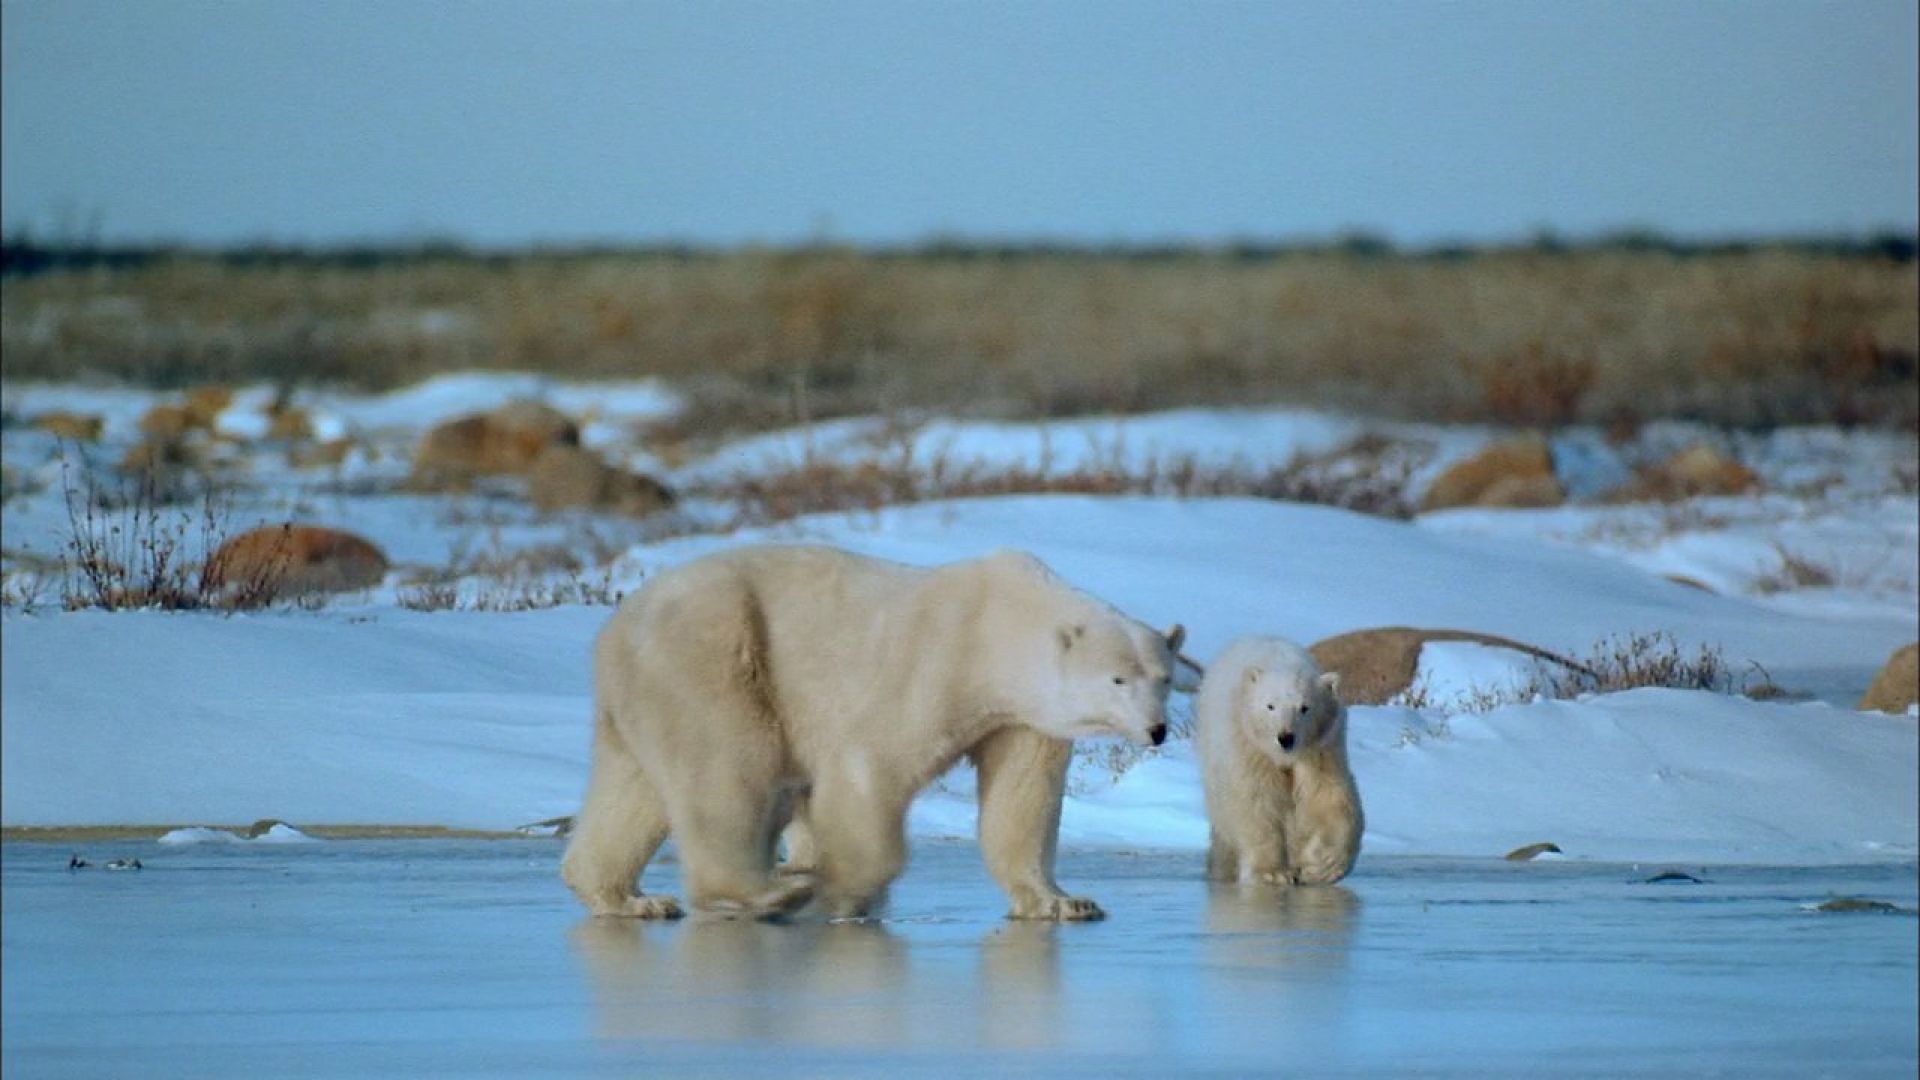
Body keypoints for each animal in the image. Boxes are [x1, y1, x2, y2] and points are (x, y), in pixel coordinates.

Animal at [560, 545, 1182, 914]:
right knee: (729, 766)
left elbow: (1023, 804)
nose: (1156, 731)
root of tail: (615, 628)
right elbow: (867, 768)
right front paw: (849, 889)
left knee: (633, 790)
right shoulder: (931, 665)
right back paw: (770, 890)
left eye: (1166, 677)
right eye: (1118, 679)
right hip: (715, 653)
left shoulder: (1023, 717)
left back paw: (626, 896)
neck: (994, 629)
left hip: (645, 693)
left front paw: (1063, 902)